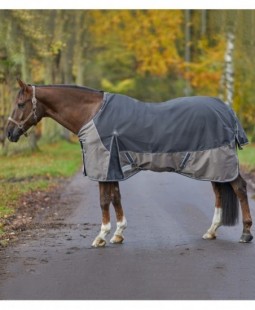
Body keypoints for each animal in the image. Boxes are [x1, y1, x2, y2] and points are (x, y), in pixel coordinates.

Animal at [5, 79, 253, 247]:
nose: (8, 133)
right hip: (214, 166)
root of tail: (227, 111)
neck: (92, 114)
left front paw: (101, 236)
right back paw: (211, 231)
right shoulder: (113, 167)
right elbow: (116, 198)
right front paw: (118, 234)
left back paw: (246, 234)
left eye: (20, 104)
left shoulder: (104, 166)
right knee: (219, 192)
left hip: (220, 163)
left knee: (240, 189)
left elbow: (104, 201)